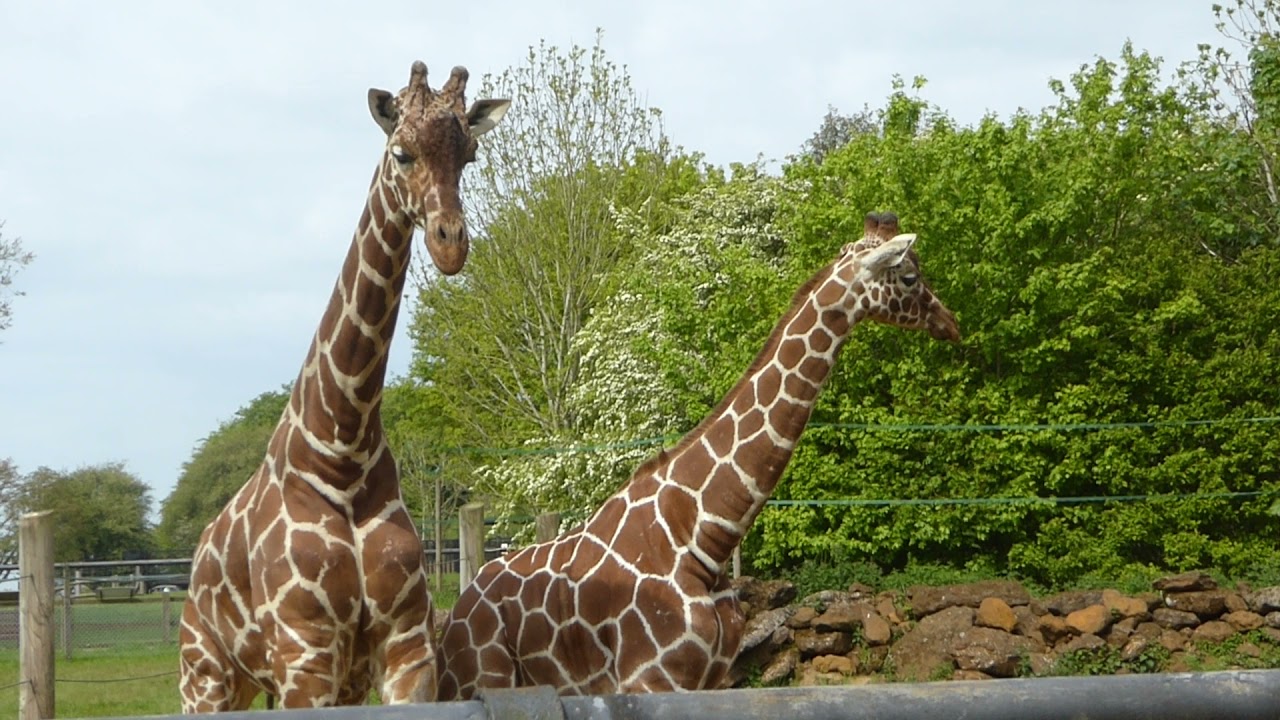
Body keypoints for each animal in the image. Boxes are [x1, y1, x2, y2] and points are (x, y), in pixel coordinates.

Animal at [178, 62, 509, 713]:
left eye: (471, 155)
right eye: (401, 152)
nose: (449, 243)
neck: (343, 450)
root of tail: (198, 557)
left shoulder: (406, 648)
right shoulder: (305, 654)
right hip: (204, 674)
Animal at [436, 212, 961, 698]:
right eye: (909, 276)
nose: (950, 322)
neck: (702, 535)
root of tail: (458, 612)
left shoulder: (710, 679)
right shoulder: (650, 680)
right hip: (481, 679)